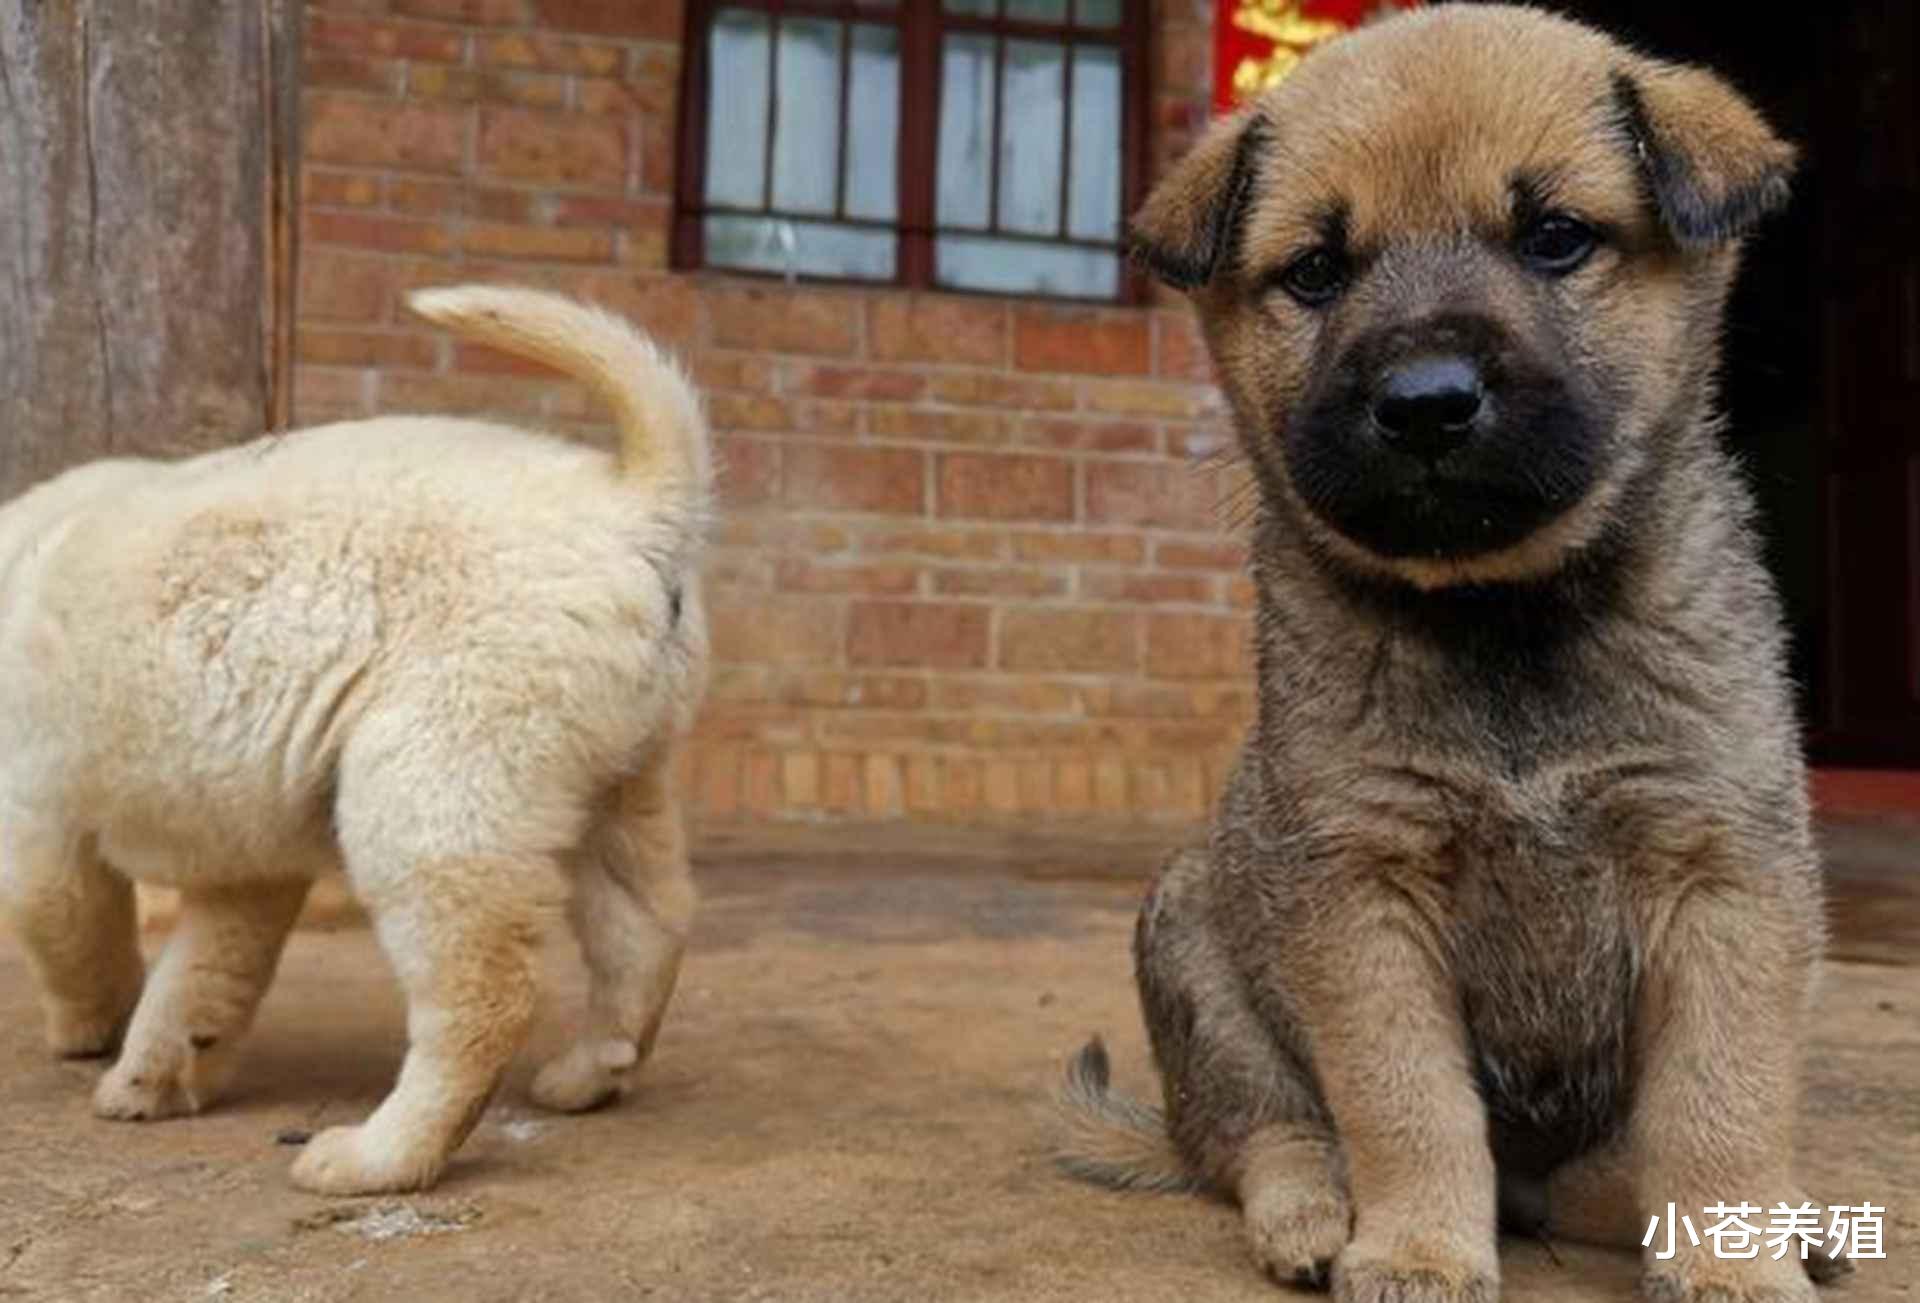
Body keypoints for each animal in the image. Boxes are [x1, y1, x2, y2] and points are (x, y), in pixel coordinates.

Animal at [0, 286, 711, 1195]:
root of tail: (634, 507)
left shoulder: (37, 813)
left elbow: (68, 930)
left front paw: (92, 1030)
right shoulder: (246, 861)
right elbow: (208, 970)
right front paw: (158, 1072)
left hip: (435, 778)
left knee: (483, 993)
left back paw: (374, 1154)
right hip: (613, 774)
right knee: (646, 924)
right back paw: (587, 1076)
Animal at [1057, 7, 1851, 1301]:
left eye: (1556, 238)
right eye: (1316, 270)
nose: (1425, 402)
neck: (1502, 621)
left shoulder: (1723, 872)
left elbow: (1719, 1101)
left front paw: (1731, 1254)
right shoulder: (1363, 888)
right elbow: (1404, 1103)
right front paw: (1420, 1245)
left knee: (1593, 1174)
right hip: (1194, 943)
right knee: (1264, 1132)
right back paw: (1311, 1213)